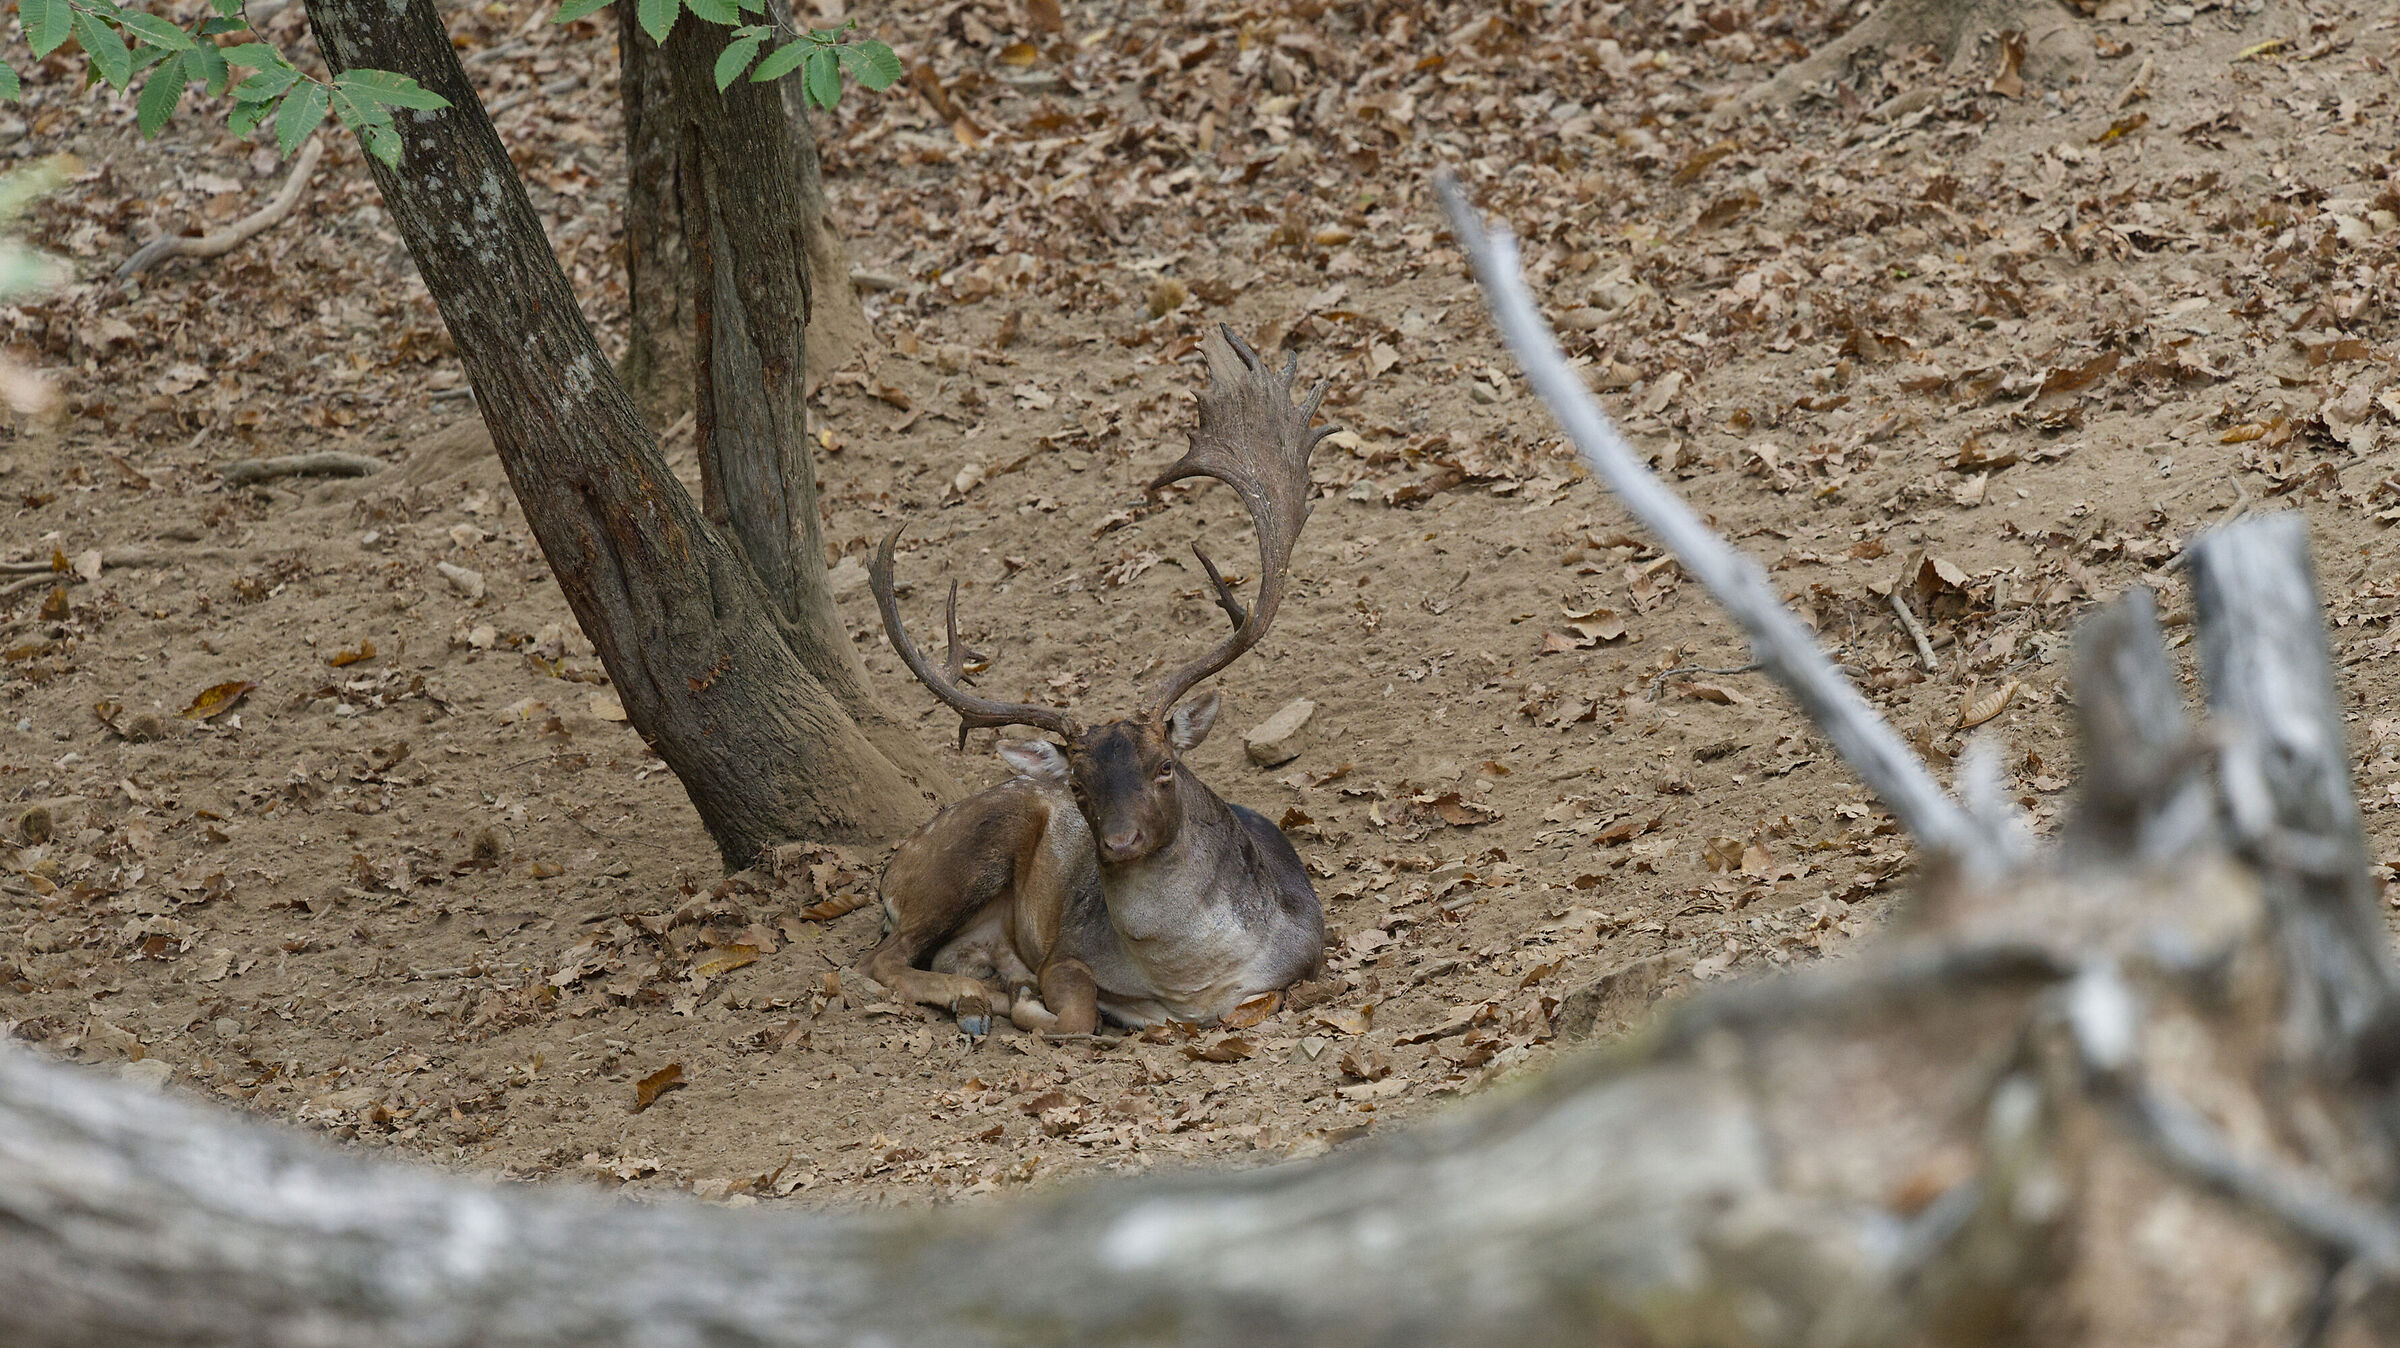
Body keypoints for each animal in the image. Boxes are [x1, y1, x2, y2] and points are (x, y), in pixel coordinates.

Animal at [862, 327, 1330, 1036]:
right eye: (1080, 787)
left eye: (1164, 767)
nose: (1118, 841)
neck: (1190, 981)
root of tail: (893, 867)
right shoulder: (1068, 953)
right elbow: (1077, 1013)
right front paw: (1026, 1001)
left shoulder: (1304, 956)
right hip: (966, 856)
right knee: (884, 958)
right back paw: (978, 1001)